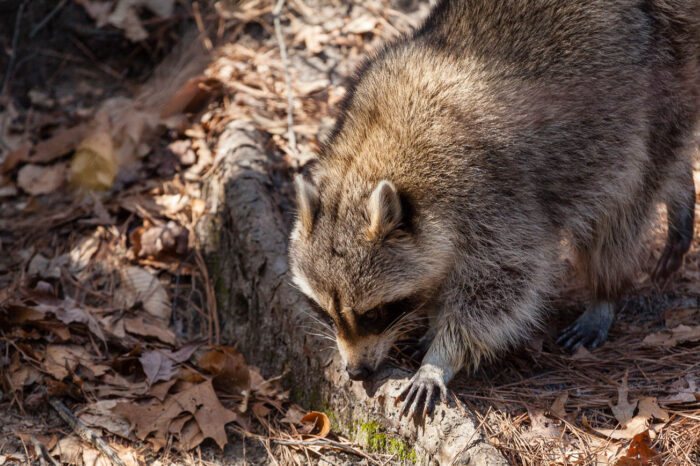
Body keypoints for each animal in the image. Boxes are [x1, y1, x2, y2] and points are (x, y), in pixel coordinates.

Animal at [288, 0, 696, 418]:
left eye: (372, 313)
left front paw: (441, 355)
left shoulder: (490, 195)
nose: (355, 372)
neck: (377, 145)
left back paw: (605, 291)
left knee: (624, 205)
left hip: (655, 89)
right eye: (326, 311)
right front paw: (432, 319)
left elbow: (503, 282)